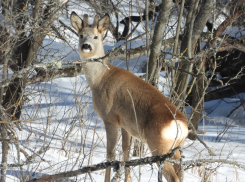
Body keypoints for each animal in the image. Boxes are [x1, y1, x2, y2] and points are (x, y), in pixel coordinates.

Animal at [70, 11, 189, 182]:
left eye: (96, 37)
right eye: (80, 35)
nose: (86, 46)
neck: (99, 79)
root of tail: (180, 125)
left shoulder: (110, 118)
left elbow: (110, 154)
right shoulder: (126, 124)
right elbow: (125, 153)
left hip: (159, 146)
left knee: (173, 177)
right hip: (177, 148)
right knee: (181, 172)